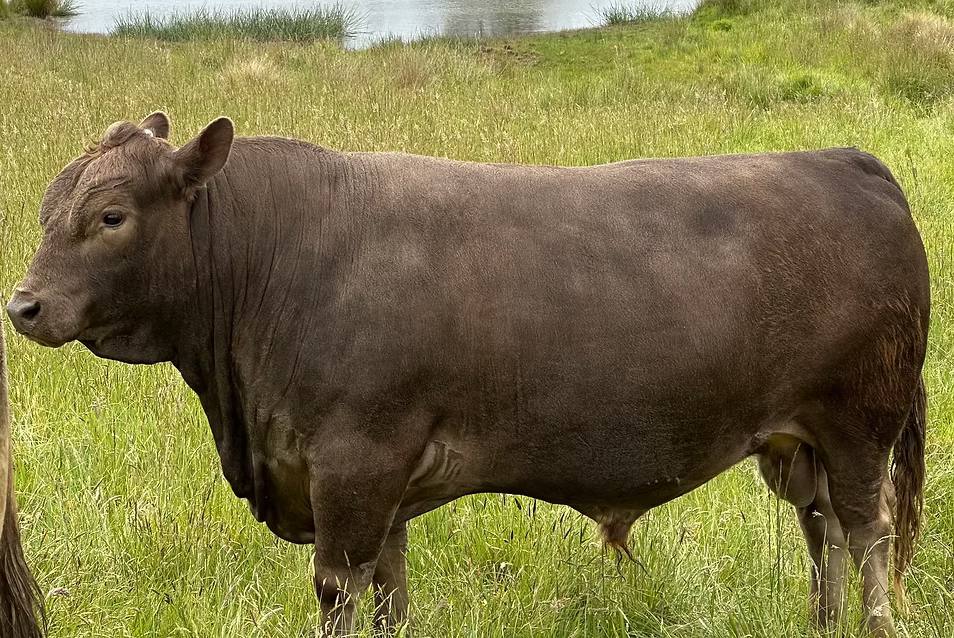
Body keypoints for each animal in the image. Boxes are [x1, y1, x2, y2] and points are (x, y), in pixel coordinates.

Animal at [6, 112, 928, 638]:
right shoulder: (377, 483)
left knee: (867, 531)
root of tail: (846, 161)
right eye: (50, 208)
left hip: (858, 425)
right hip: (796, 442)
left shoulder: (354, 463)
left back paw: (874, 626)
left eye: (110, 216)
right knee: (823, 534)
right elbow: (389, 591)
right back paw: (822, 627)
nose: (24, 305)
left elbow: (339, 590)